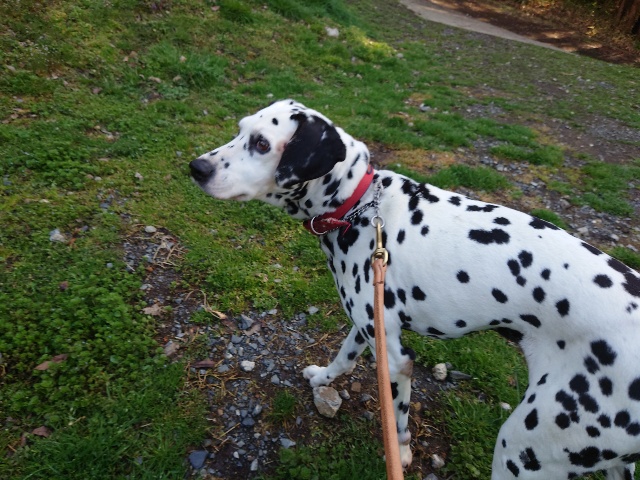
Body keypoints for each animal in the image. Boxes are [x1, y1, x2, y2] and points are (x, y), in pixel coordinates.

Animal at [189, 100, 640, 479]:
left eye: (262, 143)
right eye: (240, 129)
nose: (197, 167)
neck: (359, 207)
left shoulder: (396, 360)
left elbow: (398, 418)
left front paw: (402, 452)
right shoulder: (369, 326)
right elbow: (343, 358)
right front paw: (322, 378)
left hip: (523, 451)